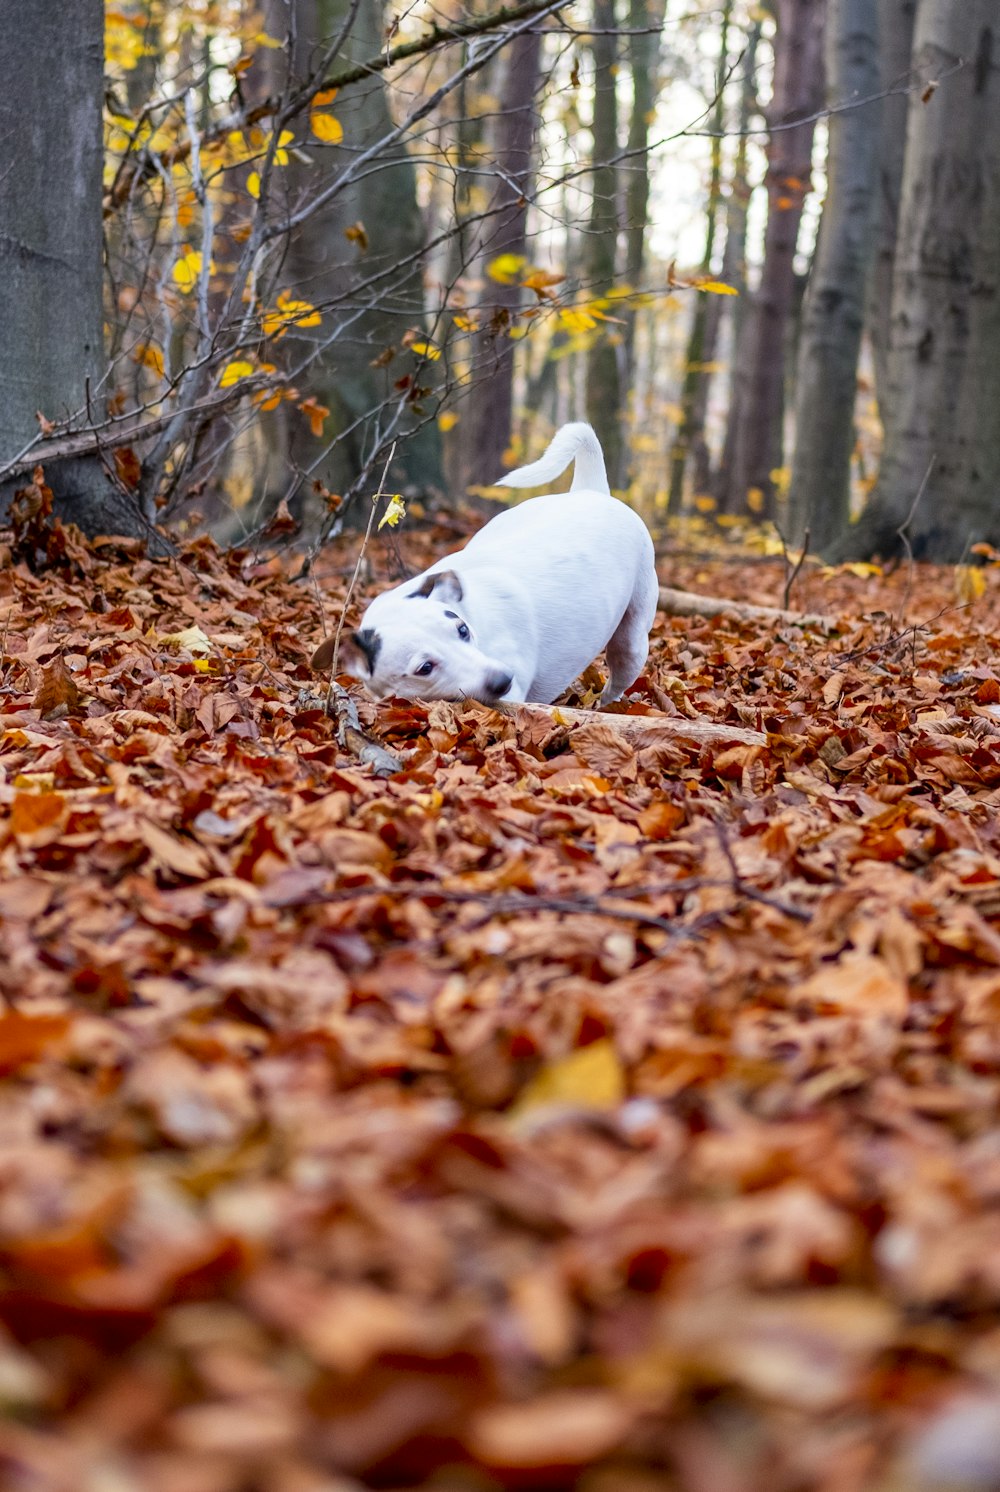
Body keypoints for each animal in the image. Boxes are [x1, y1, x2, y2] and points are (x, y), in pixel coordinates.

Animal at [313, 420, 656, 704]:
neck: (475, 616)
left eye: (462, 630)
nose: (503, 679)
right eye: (425, 668)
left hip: (631, 643)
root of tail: (591, 490)